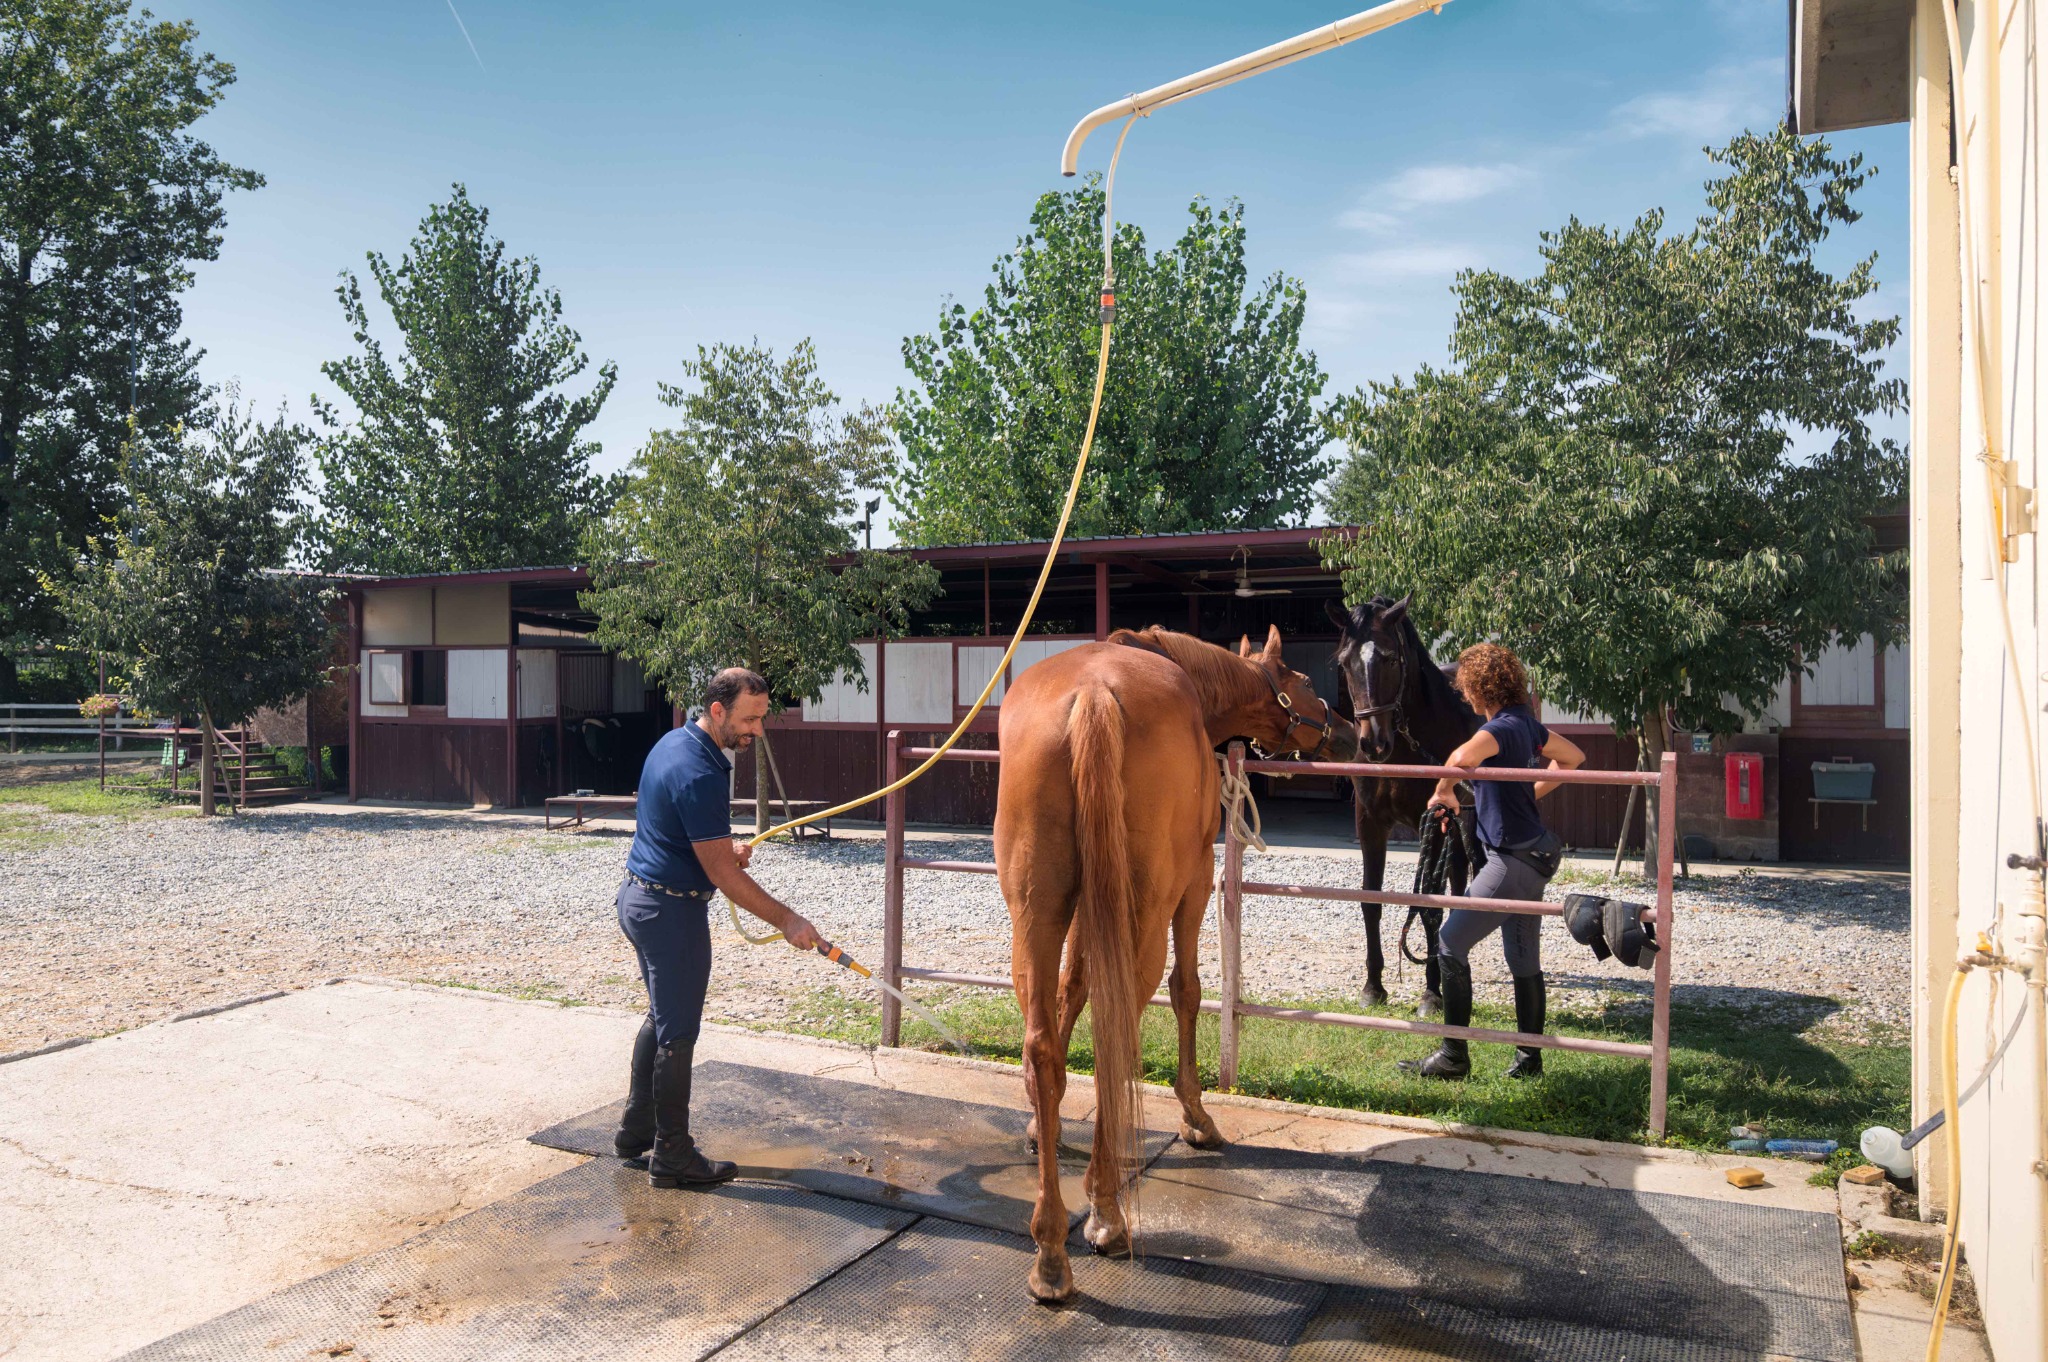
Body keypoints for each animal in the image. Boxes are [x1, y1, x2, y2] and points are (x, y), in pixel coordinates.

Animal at [996, 622, 1357, 1304]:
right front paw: (1196, 1115)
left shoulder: (1083, 908)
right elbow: (1187, 990)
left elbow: (1071, 991)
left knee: (1044, 1044)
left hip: (1035, 907)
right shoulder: (1193, 883)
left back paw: (1050, 1249)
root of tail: (1093, 696)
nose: (1345, 730)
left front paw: (1037, 1127)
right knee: (1119, 1031)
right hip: (1147, 904)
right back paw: (1106, 1213)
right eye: (1300, 677)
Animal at [1325, 595, 1483, 1014]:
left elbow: (1429, 906)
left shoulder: (1436, 819)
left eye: (1391, 659)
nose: (1373, 743)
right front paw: (1373, 988)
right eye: (1344, 662)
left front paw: (1431, 994)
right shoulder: (1369, 823)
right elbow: (1371, 900)